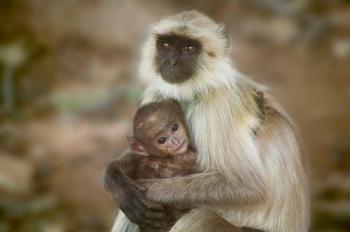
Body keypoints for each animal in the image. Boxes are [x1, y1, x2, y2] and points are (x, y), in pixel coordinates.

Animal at [109, 10, 308, 232]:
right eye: (166, 45)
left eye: (189, 49)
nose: (172, 63)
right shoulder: (158, 92)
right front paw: (117, 180)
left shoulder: (218, 103)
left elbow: (247, 186)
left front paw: (147, 190)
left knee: (201, 217)